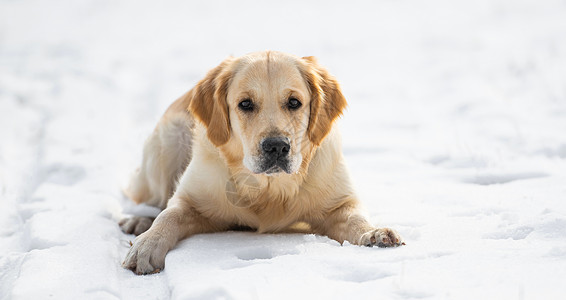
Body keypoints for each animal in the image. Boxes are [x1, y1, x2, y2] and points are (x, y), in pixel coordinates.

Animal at [121, 51, 404, 274]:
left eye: (294, 102)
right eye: (245, 104)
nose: (276, 146)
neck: (268, 190)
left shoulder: (340, 203)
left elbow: (356, 218)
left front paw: (374, 233)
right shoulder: (190, 199)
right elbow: (168, 215)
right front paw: (146, 245)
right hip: (169, 139)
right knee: (153, 200)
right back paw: (138, 222)